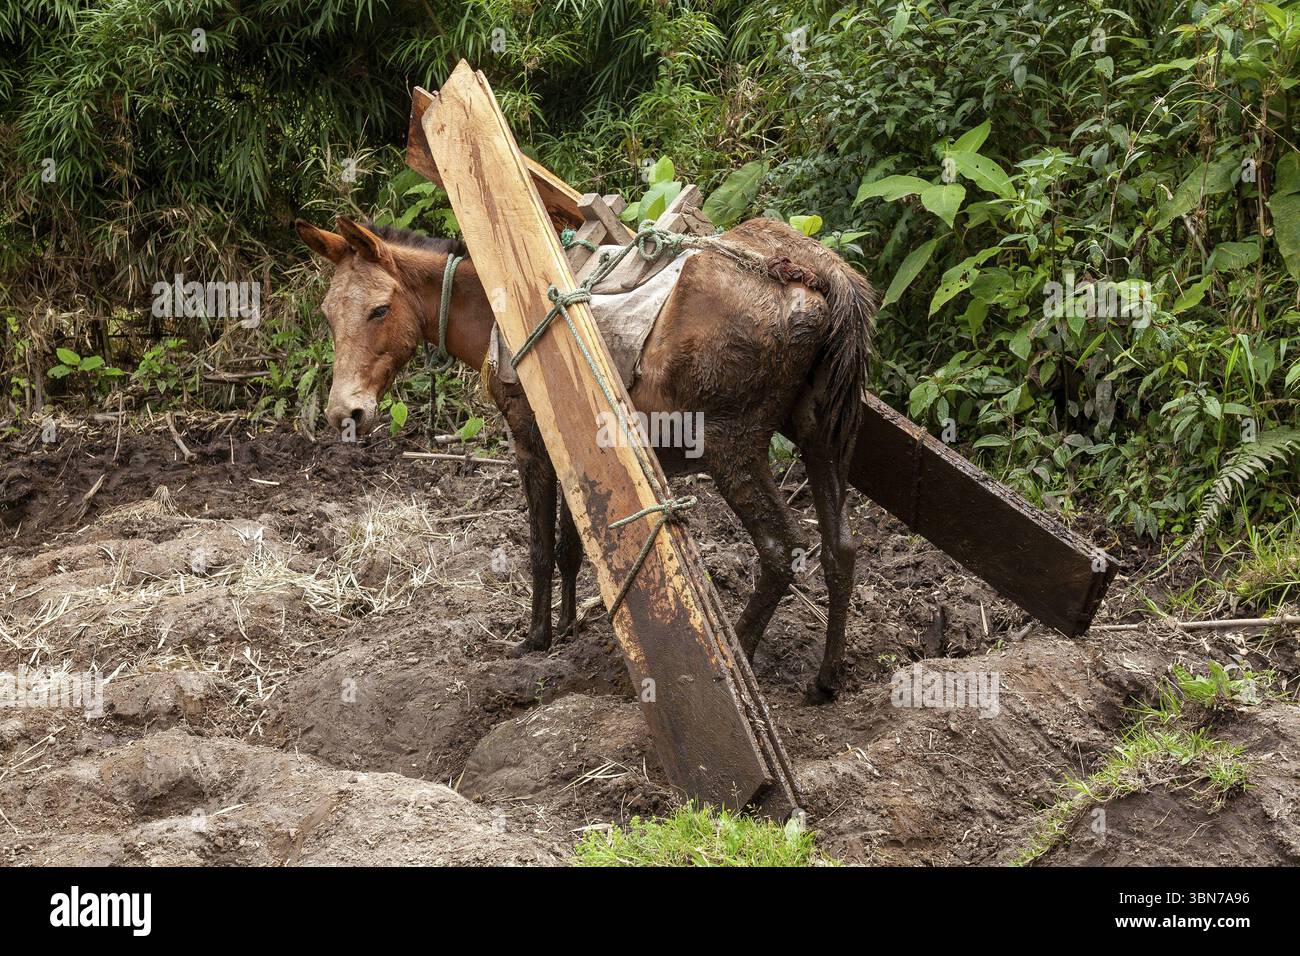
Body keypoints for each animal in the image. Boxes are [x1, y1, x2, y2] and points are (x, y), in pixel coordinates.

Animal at [295, 215, 876, 702]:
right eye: (326, 314)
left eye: (379, 309)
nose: (344, 412)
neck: (496, 309)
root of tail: (818, 275)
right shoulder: (575, 453)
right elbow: (571, 548)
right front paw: (571, 623)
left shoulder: (531, 445)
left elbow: (540, 548)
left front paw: (537, 636)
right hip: (821, 439)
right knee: (840, 550)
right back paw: (825, 680)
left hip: (732, 449)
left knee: (781, 551)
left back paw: (742, 656)